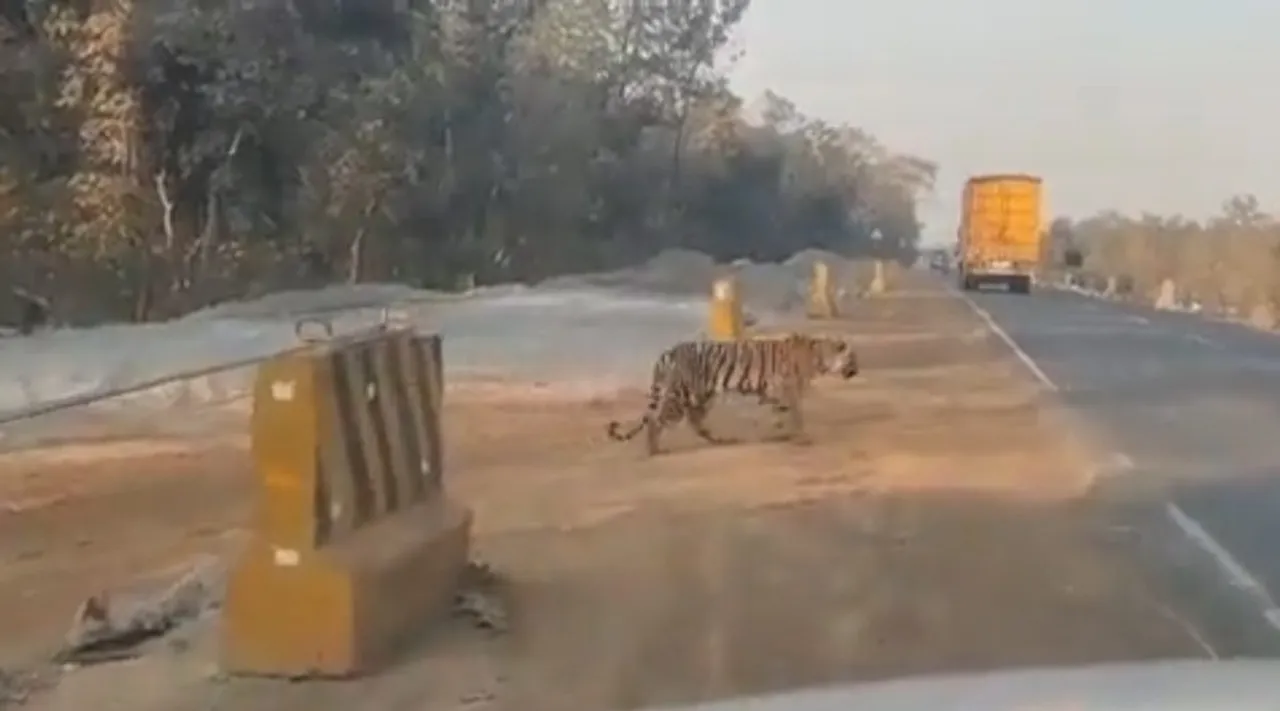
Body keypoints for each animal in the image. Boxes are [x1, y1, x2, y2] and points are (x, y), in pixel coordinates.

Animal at [606, 333, 860, 456]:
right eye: (852, 358)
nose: (857, 370)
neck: (820, 357)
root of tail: (668, 353)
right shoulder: (788, 389)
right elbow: (795, 414)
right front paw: (801, 437)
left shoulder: (774, 391)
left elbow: (779, 414)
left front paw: (779, 433)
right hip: (681, 395)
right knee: (657, 420)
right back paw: (654, 450)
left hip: (700, 397)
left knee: (695, 422)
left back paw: (721, 440)